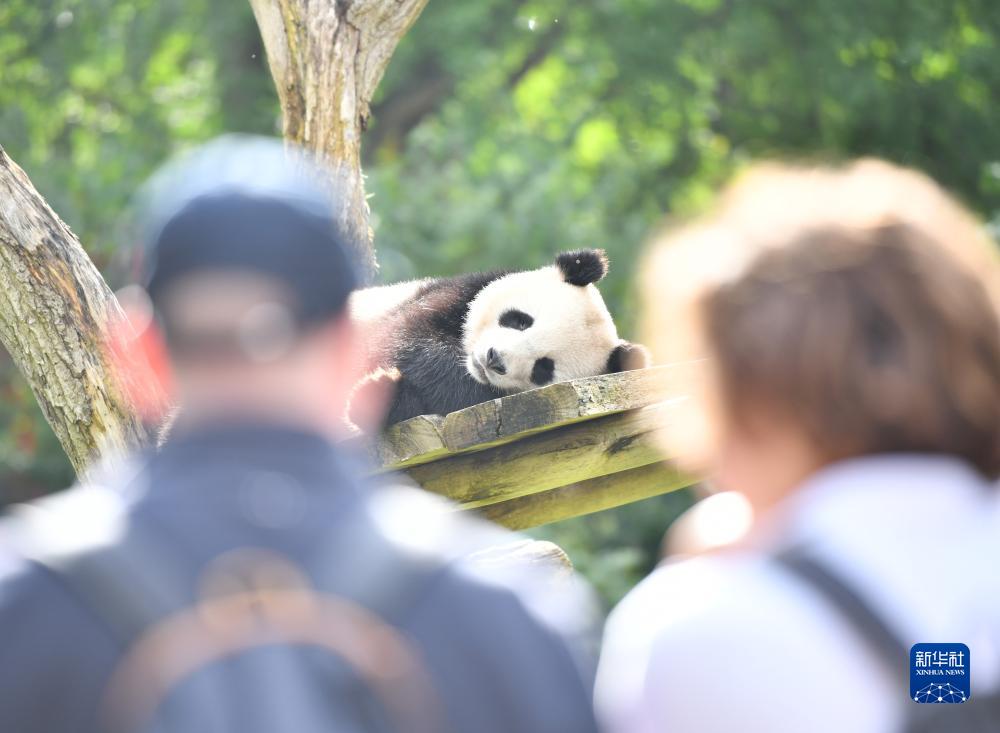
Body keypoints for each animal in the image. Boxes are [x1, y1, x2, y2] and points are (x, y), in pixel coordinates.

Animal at [348, 249, 652, 426]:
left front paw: (382, 392)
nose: (494, 360)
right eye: (520, 321)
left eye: (543, 368)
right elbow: (408, 339)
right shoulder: (449, 296)